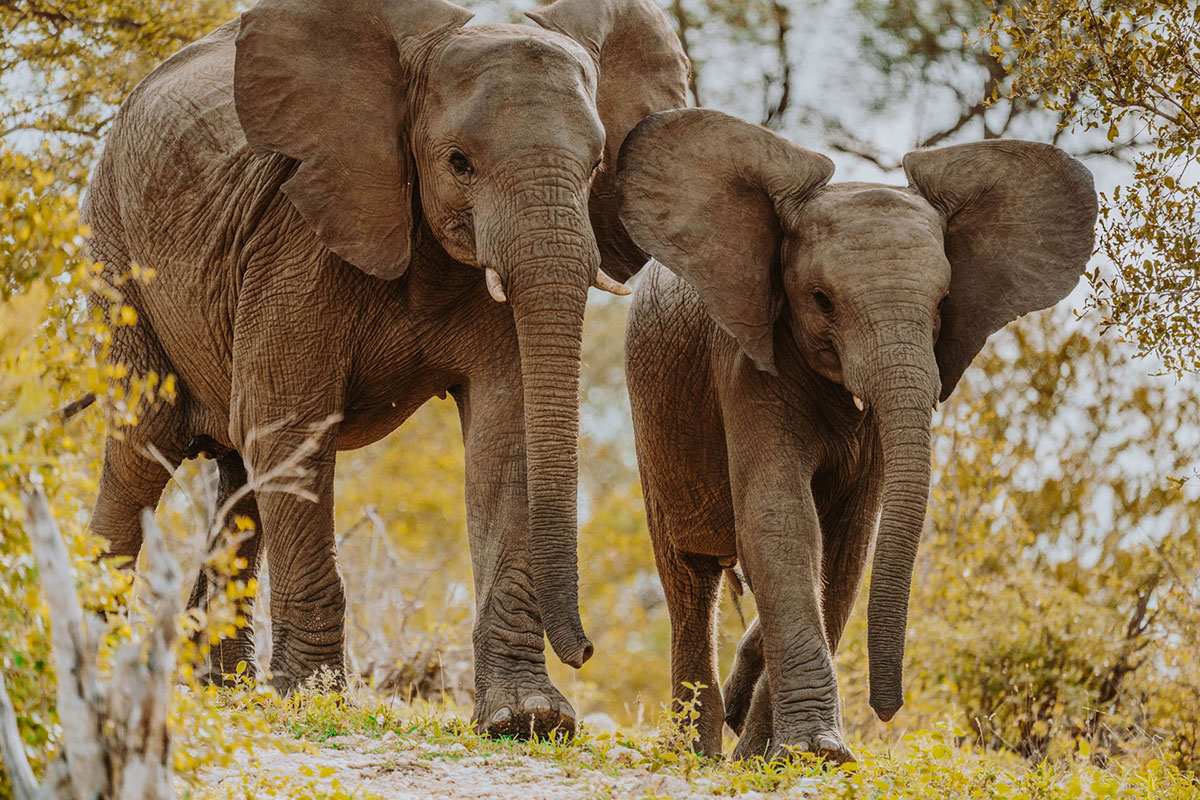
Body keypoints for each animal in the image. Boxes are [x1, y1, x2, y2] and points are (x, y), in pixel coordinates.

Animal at [79, 0, 691, 743]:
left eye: (598, 162)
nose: (587, 650)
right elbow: (290, 422)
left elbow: (507, 435)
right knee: (147, 441)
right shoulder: (297, 235)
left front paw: (528, 719)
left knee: (238, 472)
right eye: (459, 163)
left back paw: (225, 688)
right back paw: (101, 656)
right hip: (114, 253)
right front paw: (310, 701)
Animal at [619, 109, 1099, 762]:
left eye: (943, 304)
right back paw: (696, 750)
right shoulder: (744, 362)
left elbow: (845, 546)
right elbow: (783, 522)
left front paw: (780, 753)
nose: (887, 708)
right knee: (688, 577)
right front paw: (814, 753)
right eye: (822, 300)